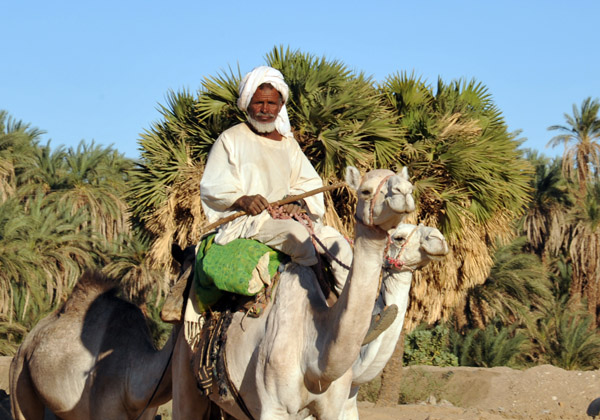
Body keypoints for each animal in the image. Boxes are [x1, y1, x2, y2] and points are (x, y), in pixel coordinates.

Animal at [172, 167, 418, 420]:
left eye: (407, 183)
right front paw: (254, 202)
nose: (404, 191)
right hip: (184, 379)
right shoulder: (274, 407)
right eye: (365, 191)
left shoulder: (336, 408)